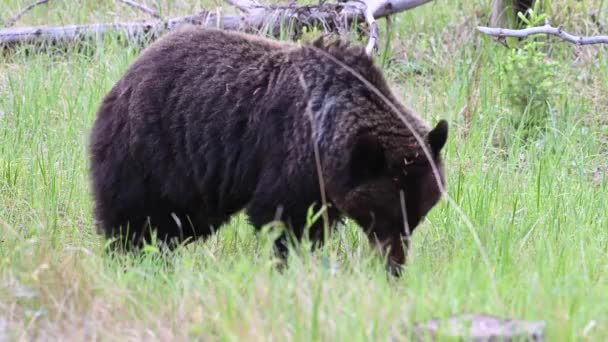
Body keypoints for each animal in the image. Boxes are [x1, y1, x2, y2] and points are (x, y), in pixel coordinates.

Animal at [91, 26, 452, 272]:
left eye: (418, 215)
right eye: (384, 214)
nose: (394, 266)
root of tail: (122, 80)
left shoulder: (323, 183)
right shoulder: (290, 153)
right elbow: (280, 217)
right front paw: (286, 263)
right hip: (152, 152)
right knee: (132, 215)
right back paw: (129, 257)